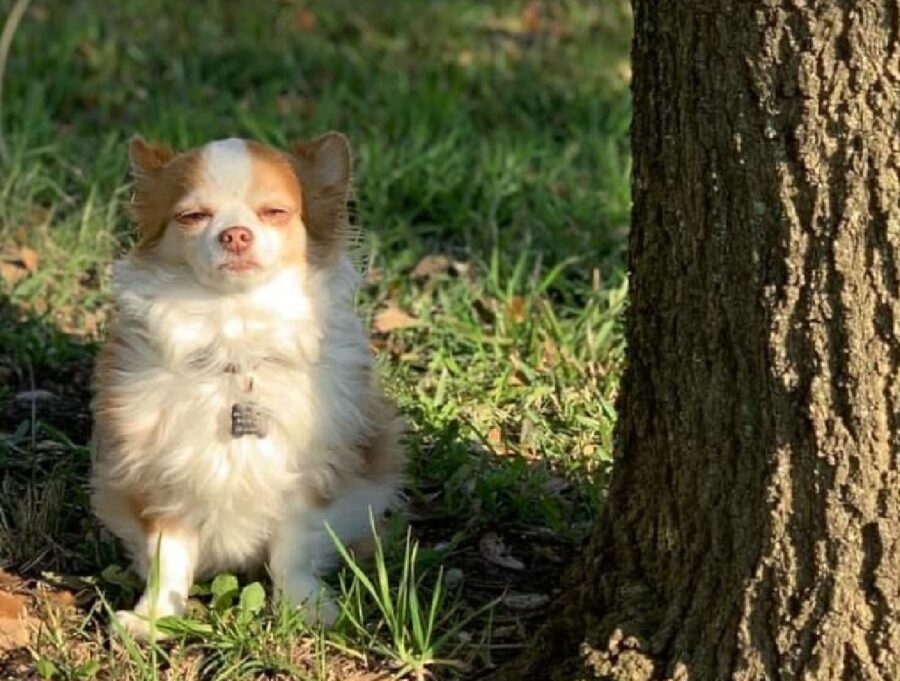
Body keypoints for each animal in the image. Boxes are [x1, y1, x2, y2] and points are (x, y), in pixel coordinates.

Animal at [90, 133, 404, 636]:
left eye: (274, 212)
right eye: (192, 216)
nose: (235, 233)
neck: (235, 337)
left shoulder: (307, 476)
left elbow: (293, 549)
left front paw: (304, 606)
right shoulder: (158, 475)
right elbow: (167, 555)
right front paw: (154, 618)